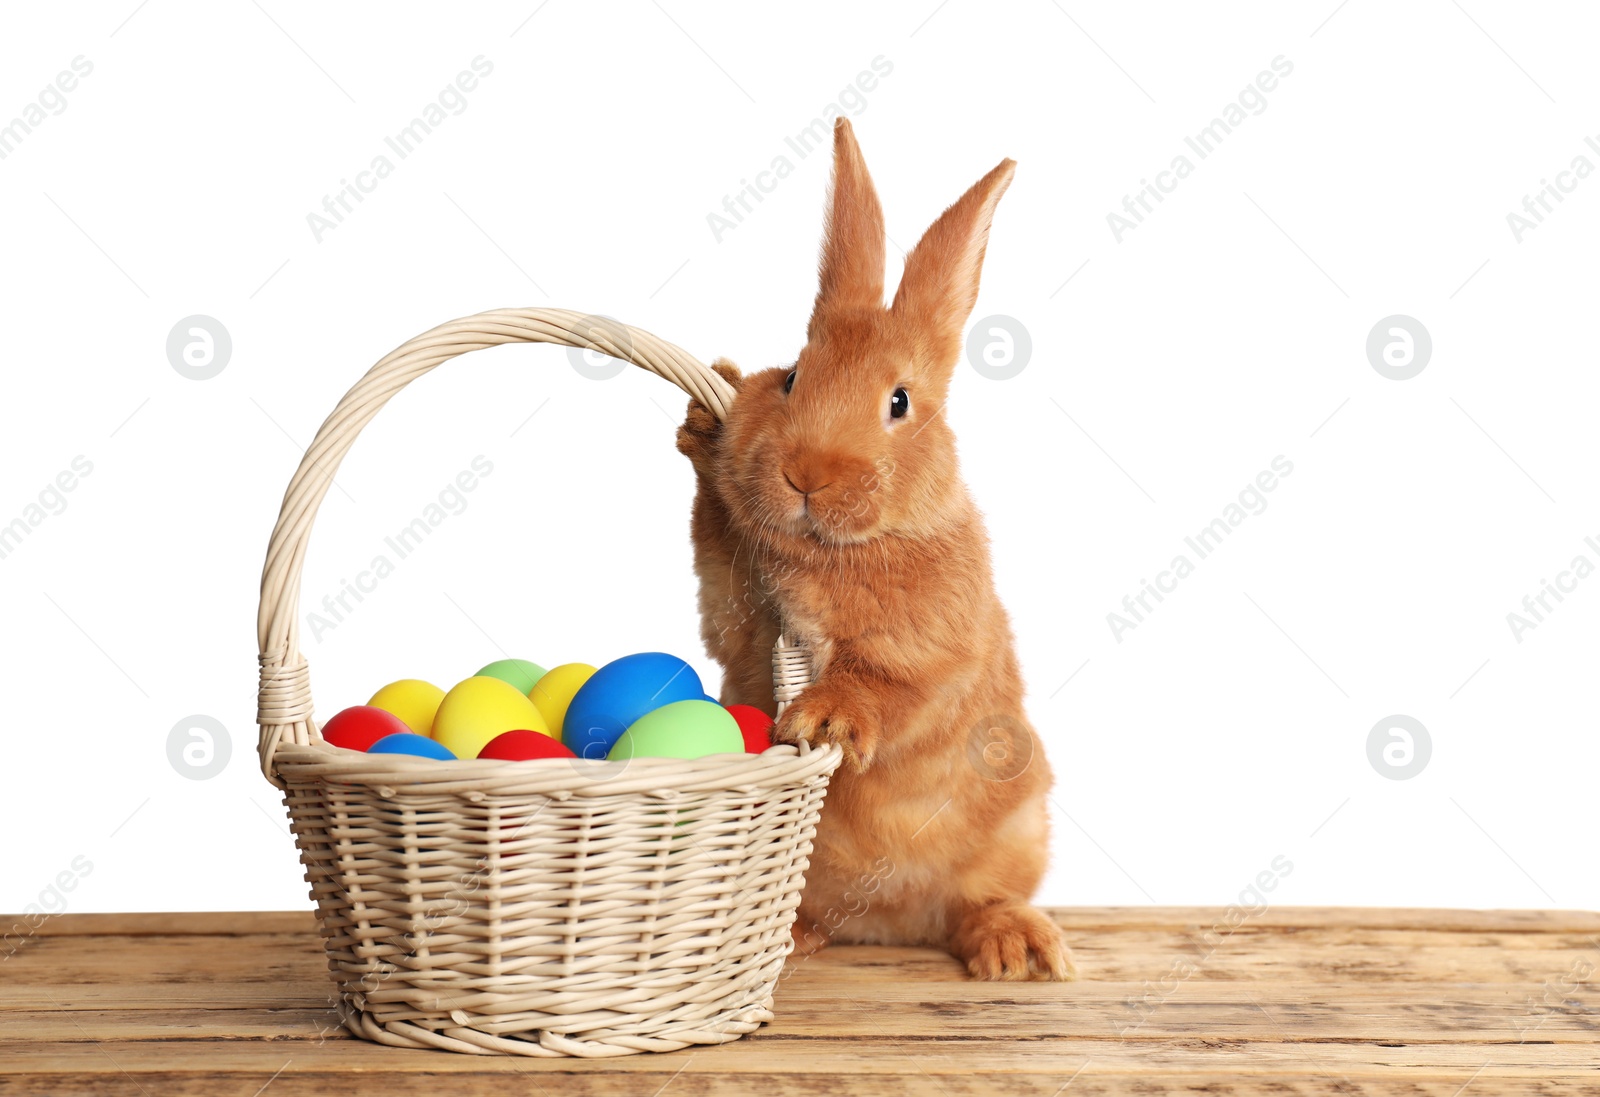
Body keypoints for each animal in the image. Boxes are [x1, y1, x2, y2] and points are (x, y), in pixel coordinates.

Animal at [675, 115, 1075, 985]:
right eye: (793, 377)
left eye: (899, 402)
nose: (806, 474)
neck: (833, 547)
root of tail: (888, 925)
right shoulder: (742, 633)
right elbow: (721, 573)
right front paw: (703, 418)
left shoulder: (933, 650)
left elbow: (889, 685)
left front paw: (825, 719)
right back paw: (797, 938)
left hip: (1019, 827)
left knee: (979, 901)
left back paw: (1015, 947)